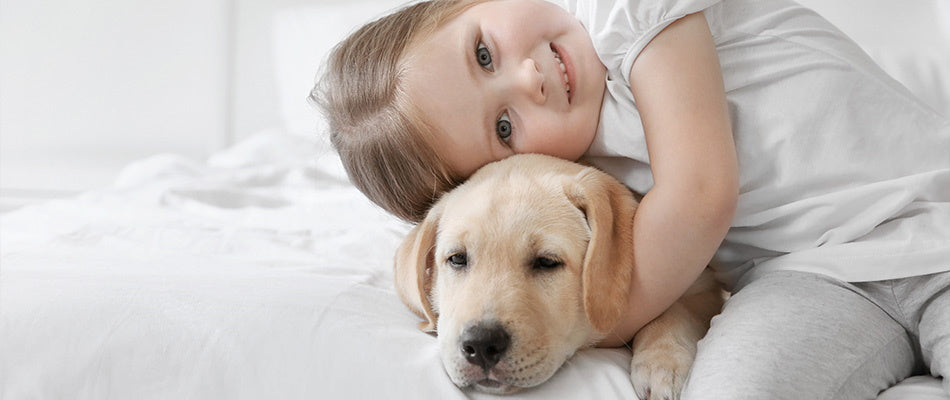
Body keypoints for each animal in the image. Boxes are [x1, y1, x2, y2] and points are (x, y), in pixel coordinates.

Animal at [398, 154, 724, 400]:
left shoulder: (703, 284)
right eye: (457, 259)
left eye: (546, 262)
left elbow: (675, 312)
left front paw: (661, 364)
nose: (481, 345)